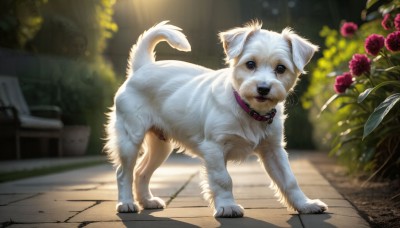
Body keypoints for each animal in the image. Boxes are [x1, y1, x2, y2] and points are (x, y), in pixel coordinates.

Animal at [104, 20, 326, 217]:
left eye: (281, 68)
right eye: (250, 64)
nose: (263, 88)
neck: (247, 109)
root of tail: (142, 68)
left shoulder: (273, 150)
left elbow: (289, 180)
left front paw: (305, 204)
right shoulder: (214, 148)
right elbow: (223, 179)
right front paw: (227, 206)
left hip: (161, 145)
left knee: (140, 172)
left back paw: (147, 200)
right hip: (130, 140)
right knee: (123, 173)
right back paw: (126, 203)